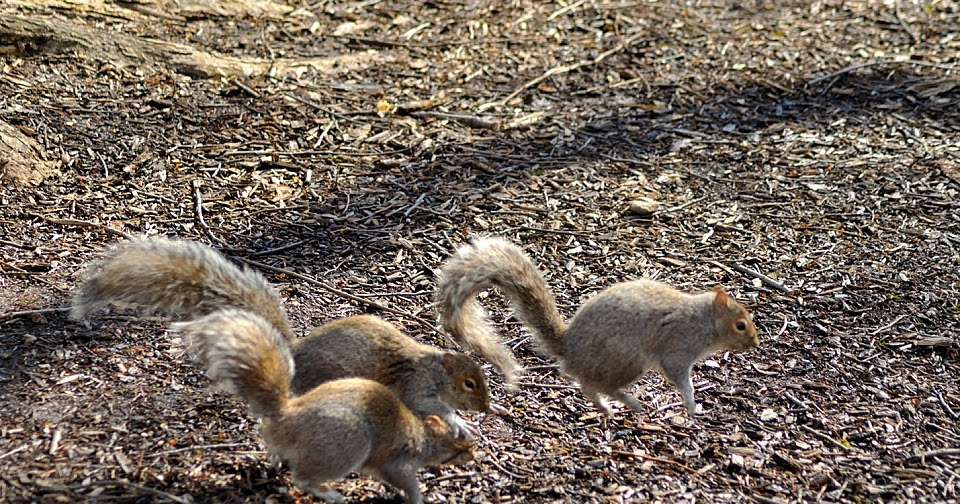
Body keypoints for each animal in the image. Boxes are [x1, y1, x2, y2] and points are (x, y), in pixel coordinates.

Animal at [69, 237, 490, 434]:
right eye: (469, 383)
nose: (486, 408)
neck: (435, 368)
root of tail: (294, 352)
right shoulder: (417, 387)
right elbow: (426, 406)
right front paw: (459, 421)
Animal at [174, 308, 475, 504]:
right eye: (457, 446)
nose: (473, 456)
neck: (423, 435)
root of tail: (285, 416)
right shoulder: (398, 460)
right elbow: (406, 482)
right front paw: (418, 498)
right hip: (345, 448)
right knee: (303, 479)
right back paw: (329, 493)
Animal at [435, 236, 760, 417]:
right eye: (740, 325)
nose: (755, 343)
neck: (702, 320)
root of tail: (569, 349)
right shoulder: (678, 348)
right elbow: (680, 378)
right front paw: (692, 406)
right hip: (628, 361)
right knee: (592, 385)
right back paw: (624, 404)